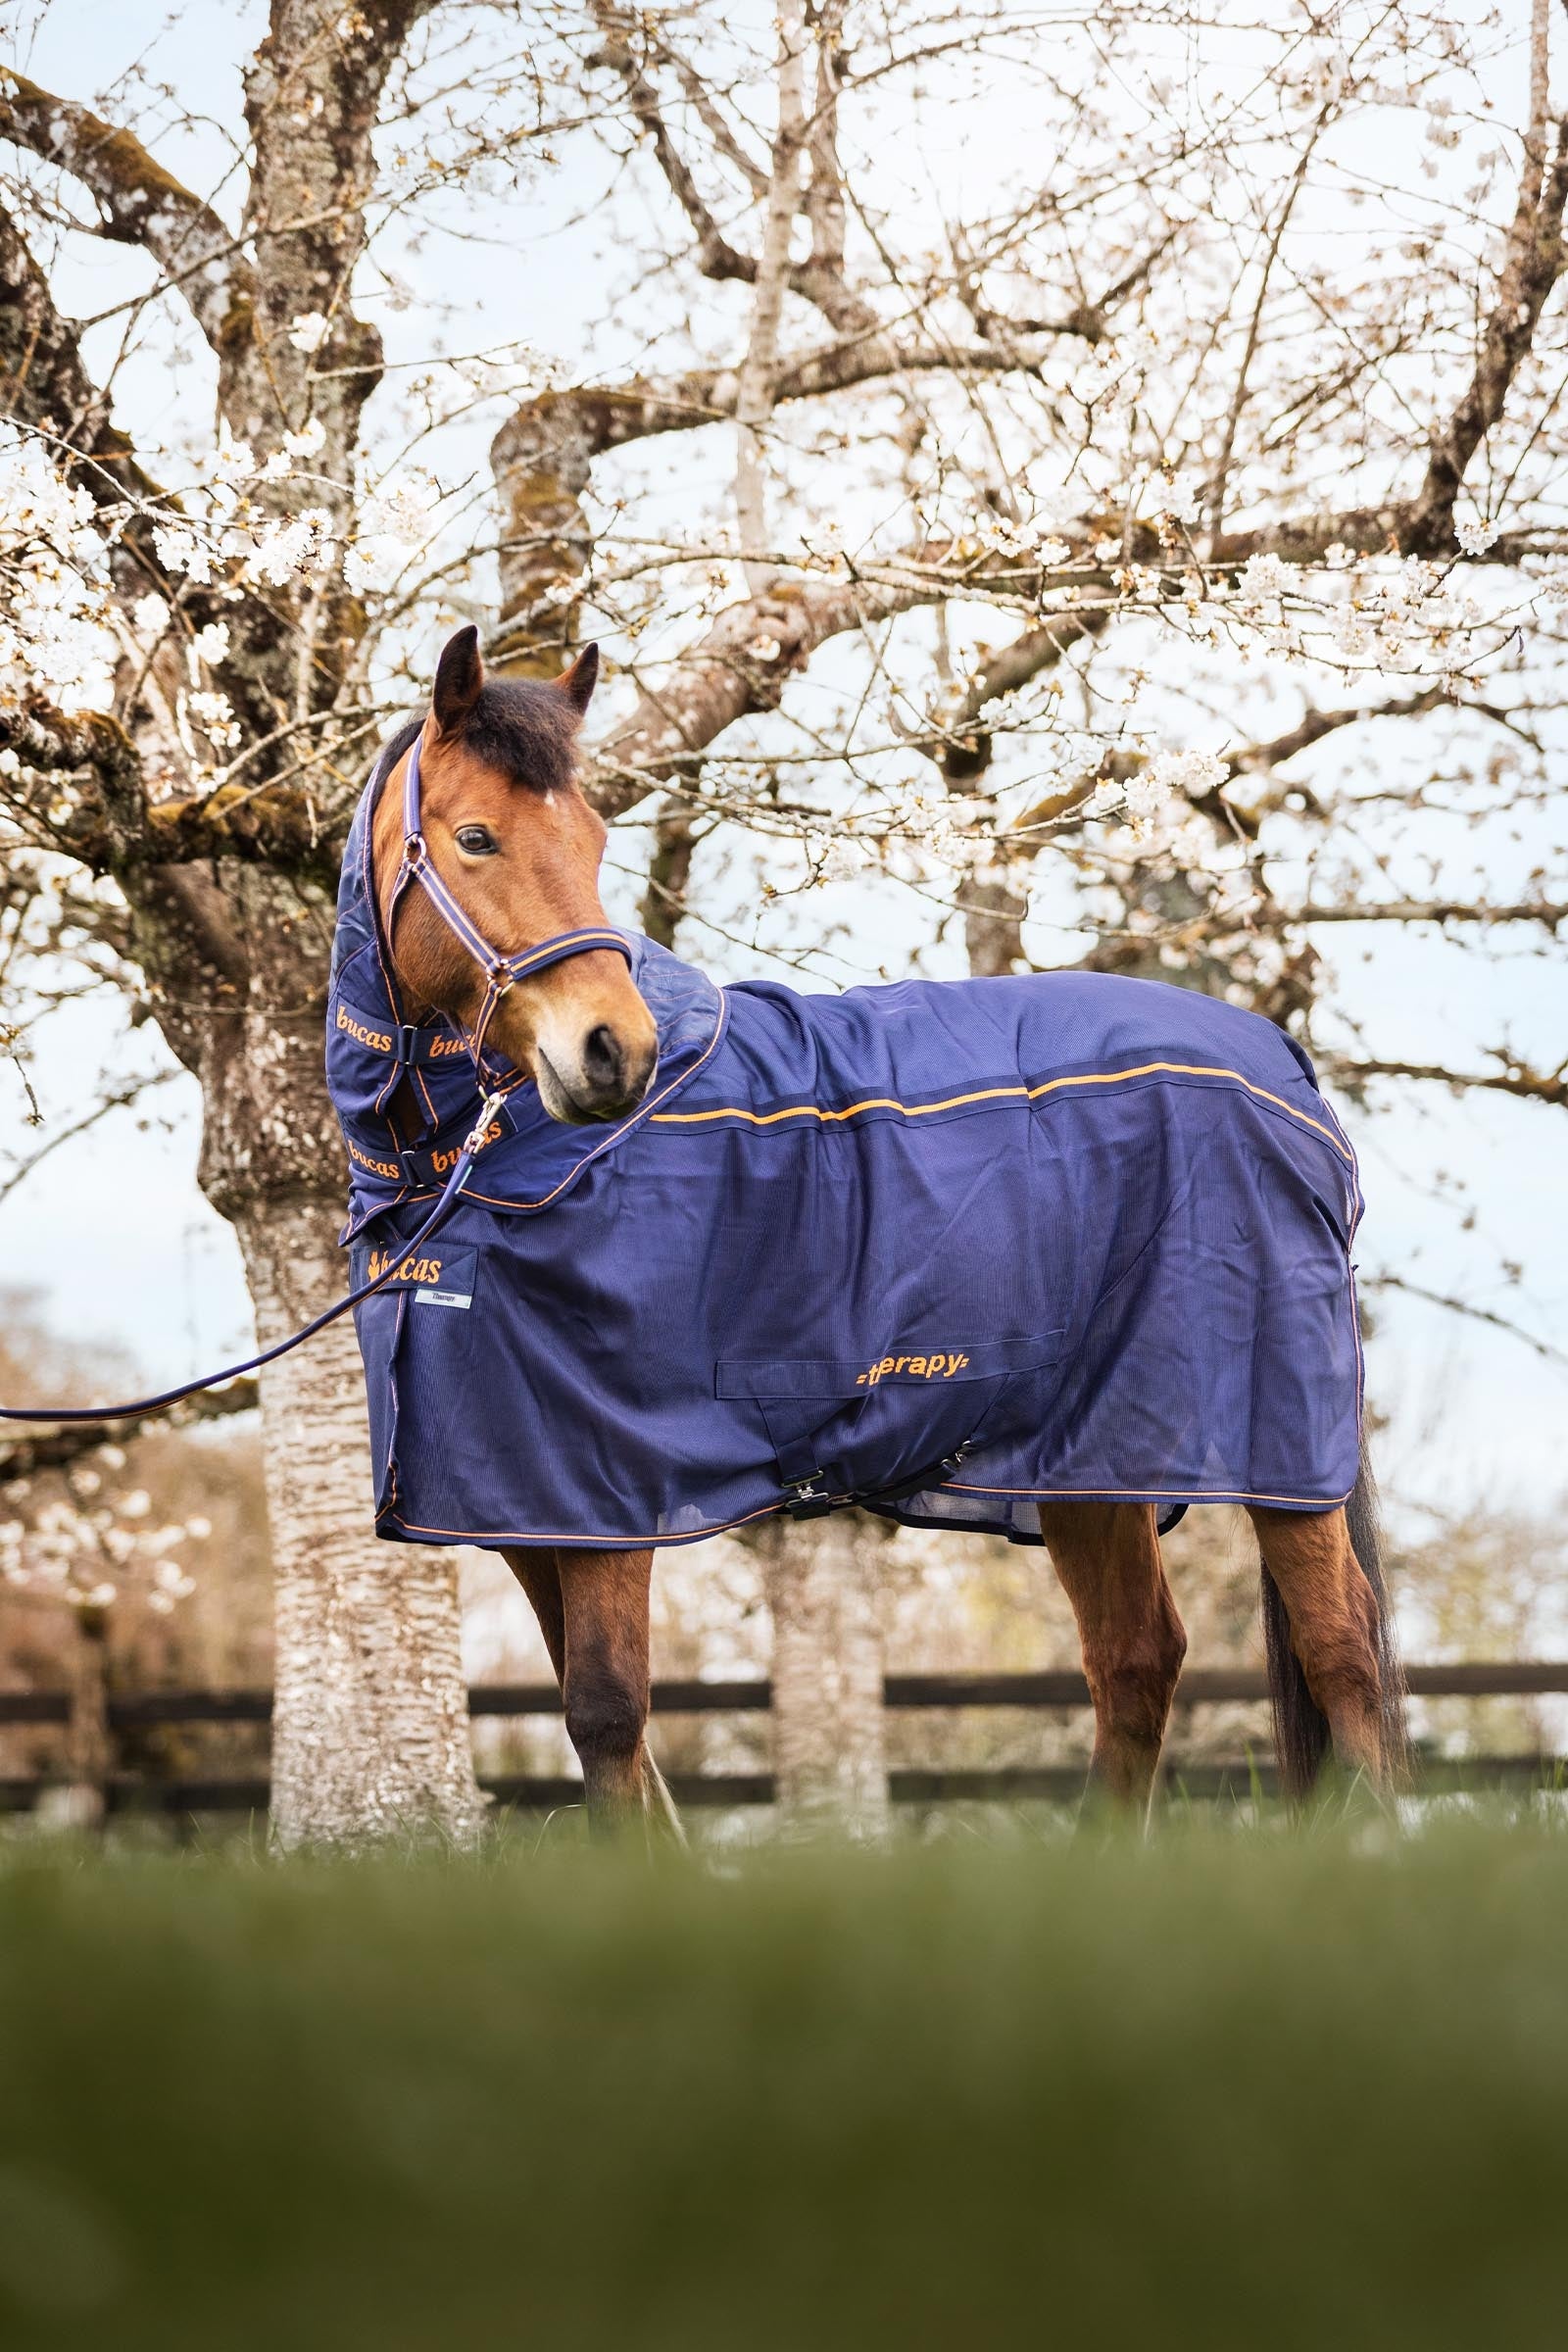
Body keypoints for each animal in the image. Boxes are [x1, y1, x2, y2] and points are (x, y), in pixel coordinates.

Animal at [337, 623, 1403, 1834]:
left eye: (596, 840)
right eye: (476, 837)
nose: (616, 1052)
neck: (489, 1166)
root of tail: (1283, 1067)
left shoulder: (612, 1491)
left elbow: (606, 1717)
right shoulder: (528, 1504)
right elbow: (616, 1744)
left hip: (1278, 1452)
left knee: (1340, 1650)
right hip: (1091, 1456)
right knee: (1137, 1659)